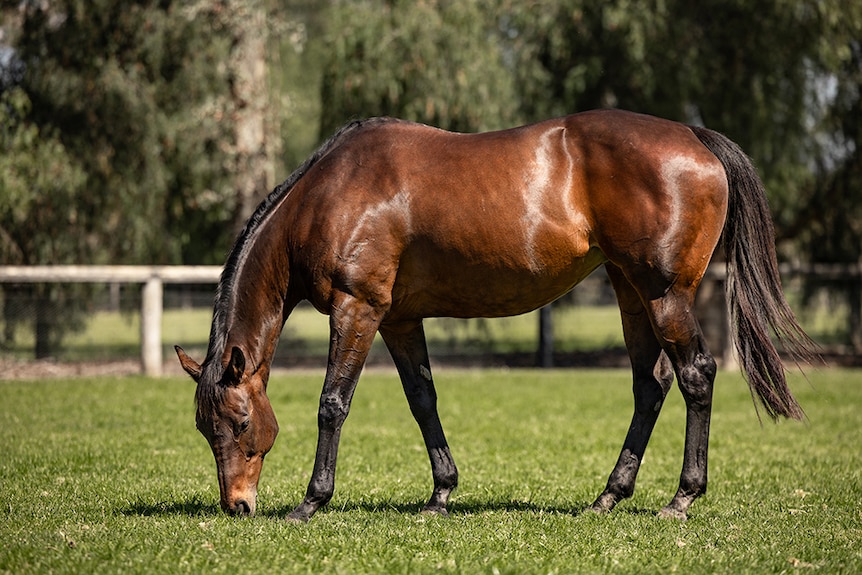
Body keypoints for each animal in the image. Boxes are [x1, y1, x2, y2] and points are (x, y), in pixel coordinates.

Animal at [174, 108, 816, 520]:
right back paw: (608, 496)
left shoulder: (358, 310)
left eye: (238, 424)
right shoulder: (398, 319)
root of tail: (694, 136)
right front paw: (440, 495)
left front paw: (311, 501)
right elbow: (423, 400)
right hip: (631, 292)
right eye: (204, 428)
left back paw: (681, 499)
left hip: (665, 295)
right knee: (650, 385)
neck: (330, 195)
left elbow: (333, 404)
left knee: (695, 376)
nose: (237, 506)